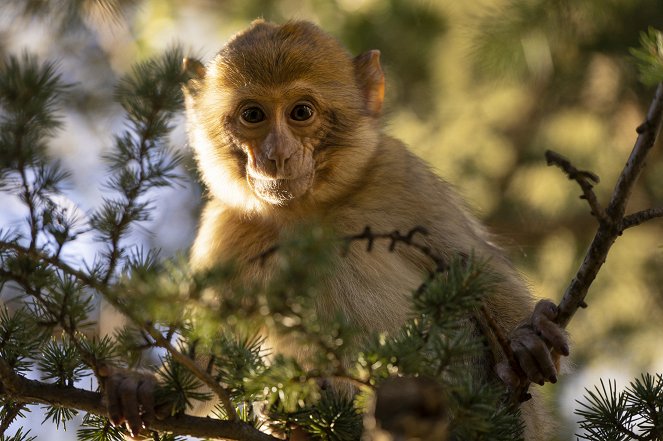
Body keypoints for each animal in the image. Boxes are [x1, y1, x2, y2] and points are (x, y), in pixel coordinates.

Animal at [104, 18, 572, 438]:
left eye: (301, 112)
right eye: (253, 114)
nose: (276, 155)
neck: (305, 213)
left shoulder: (401, 178)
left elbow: (475, 272)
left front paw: (527, 338)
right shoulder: (226, 232)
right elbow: (214, 347)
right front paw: (150, 386)